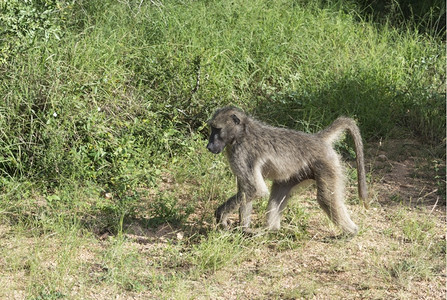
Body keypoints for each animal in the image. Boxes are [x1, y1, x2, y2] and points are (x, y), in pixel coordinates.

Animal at [206, 106, 368, 236]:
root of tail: (317, 139)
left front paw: (221, 217)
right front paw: (244, 229)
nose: (209, 146)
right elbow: (247, 189)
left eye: (217, 129)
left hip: (327, 165)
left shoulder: (241, 153)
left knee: (326, 198)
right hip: (297, 174)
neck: (242, 133)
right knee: (279, 189)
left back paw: (351, 233)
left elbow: (254, 189)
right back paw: (270, 230)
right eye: (212, 128)